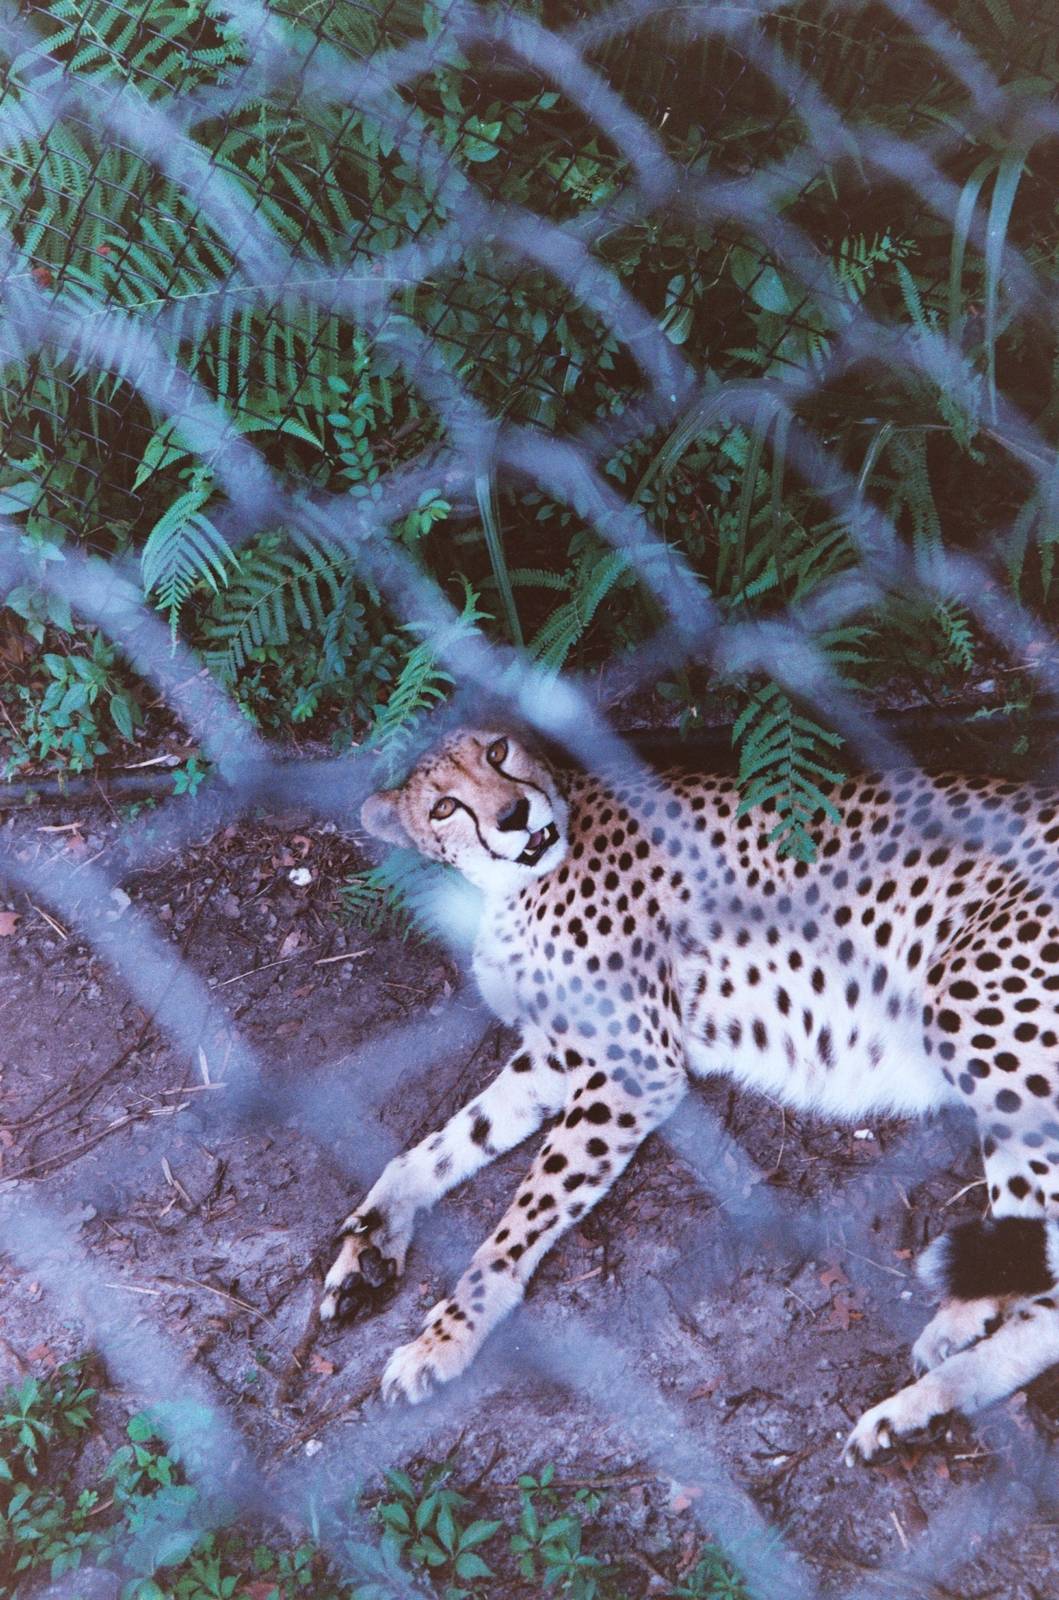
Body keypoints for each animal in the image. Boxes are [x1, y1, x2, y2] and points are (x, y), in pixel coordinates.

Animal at [319, 726, 1059, 1466]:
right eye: (443, 806)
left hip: (970, 1009)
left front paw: (444, 1337)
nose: (512, 814)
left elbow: (515, 1222)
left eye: (498, 753)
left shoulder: (634, 1066)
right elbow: (435, 1149)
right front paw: (368, 1243)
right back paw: (945, 1365)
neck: (515, 882)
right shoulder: (555, 1056)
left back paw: (918, 1399)